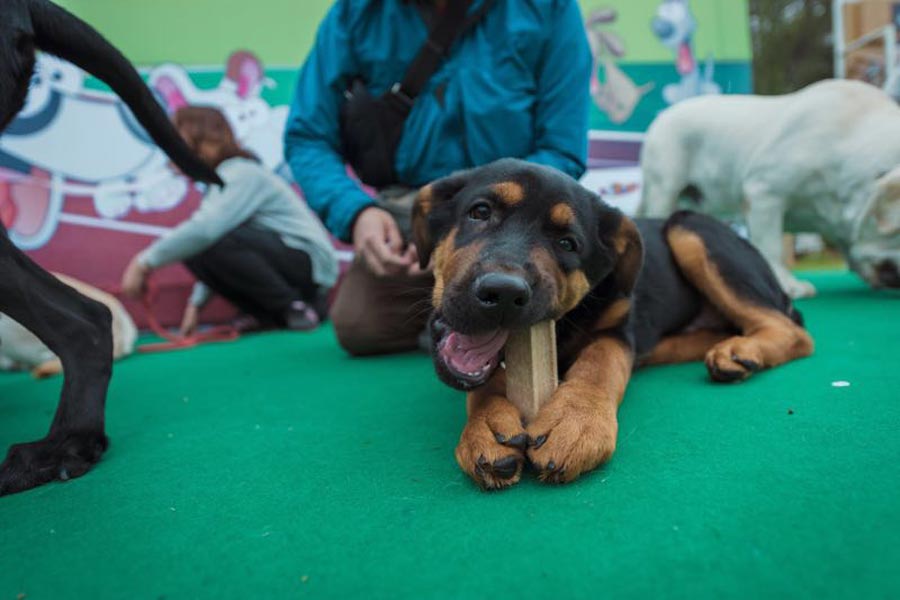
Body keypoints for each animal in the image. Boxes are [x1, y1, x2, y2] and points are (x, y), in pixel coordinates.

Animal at [414, 161, 816, 492]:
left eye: (567, 244)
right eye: (480, 212)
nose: (503, 293)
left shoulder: (618, 330)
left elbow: (600, 362)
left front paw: (576, 421)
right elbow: (485, 385)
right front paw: (487, 425)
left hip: (689, 228)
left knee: (795, 333)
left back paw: (741, 350)